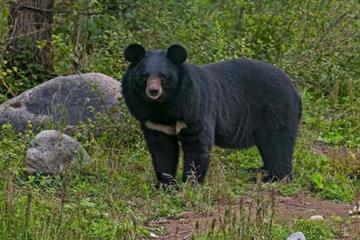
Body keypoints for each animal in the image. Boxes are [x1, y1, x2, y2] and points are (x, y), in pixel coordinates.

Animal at [122, 43, 302, 186]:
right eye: (144, 75)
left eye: (163, 75)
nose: (153, 91)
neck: (163, 106)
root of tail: (294, 89)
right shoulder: (153, 121)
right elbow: (162, 150)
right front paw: (166, 185)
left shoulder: (193, 109)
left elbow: (197, 144)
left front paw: (190, 183)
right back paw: (258, 171)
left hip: (276, 110)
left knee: (277, 143)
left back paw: (272, 177)